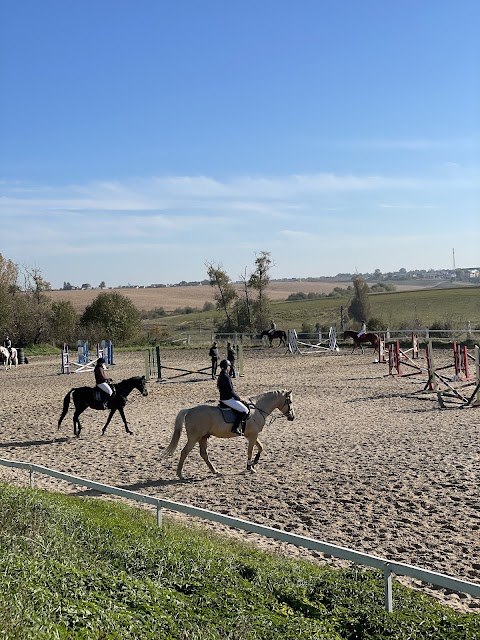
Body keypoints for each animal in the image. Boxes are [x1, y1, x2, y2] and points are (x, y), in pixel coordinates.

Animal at [163, 388, 294, 478]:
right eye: (290, 402)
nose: (292, 417)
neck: (257, 409)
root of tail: (189, 410)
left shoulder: (252, 435)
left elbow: (261, 447)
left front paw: (255, 463)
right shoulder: (253, 435)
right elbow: (250, 451)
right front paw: (250, 467)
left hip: (203, 437)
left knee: (204, 454)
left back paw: (215, 471)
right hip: (194, 438)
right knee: (184, 452)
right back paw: (180, 474)